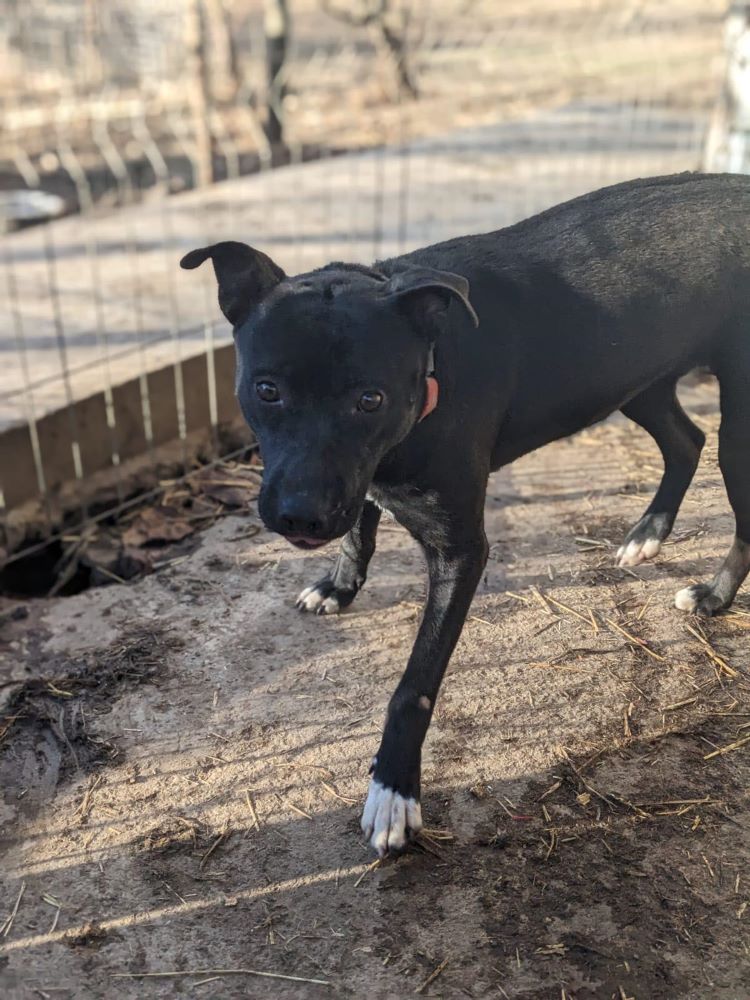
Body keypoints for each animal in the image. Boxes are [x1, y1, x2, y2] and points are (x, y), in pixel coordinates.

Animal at [182, 170, 750, 852]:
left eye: (370, 399)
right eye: (267, 389)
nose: (301, 517)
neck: (432, 368)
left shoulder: (459, 550)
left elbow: (414, 688)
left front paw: (393, 791)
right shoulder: (361, 481)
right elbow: (358, 531)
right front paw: (339, 586)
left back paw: (715, 595)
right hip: (633, 380)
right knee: (685, 441)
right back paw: (648, 534)